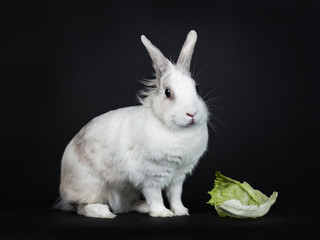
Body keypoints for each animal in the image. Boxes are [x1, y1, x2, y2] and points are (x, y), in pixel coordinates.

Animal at [56, 30, 209, 218]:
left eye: (196, 88)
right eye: (168, 92)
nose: (192, 113)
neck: (175, 129)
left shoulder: (177, 177)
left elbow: (175, 195)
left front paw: (180, 211)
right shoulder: (152, 176)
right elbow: (155, 195)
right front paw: (162, 213)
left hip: (126, 191)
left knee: (127, 205)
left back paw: (142, 206)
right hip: (90, 186)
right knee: (82, 207)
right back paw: (103, 212)